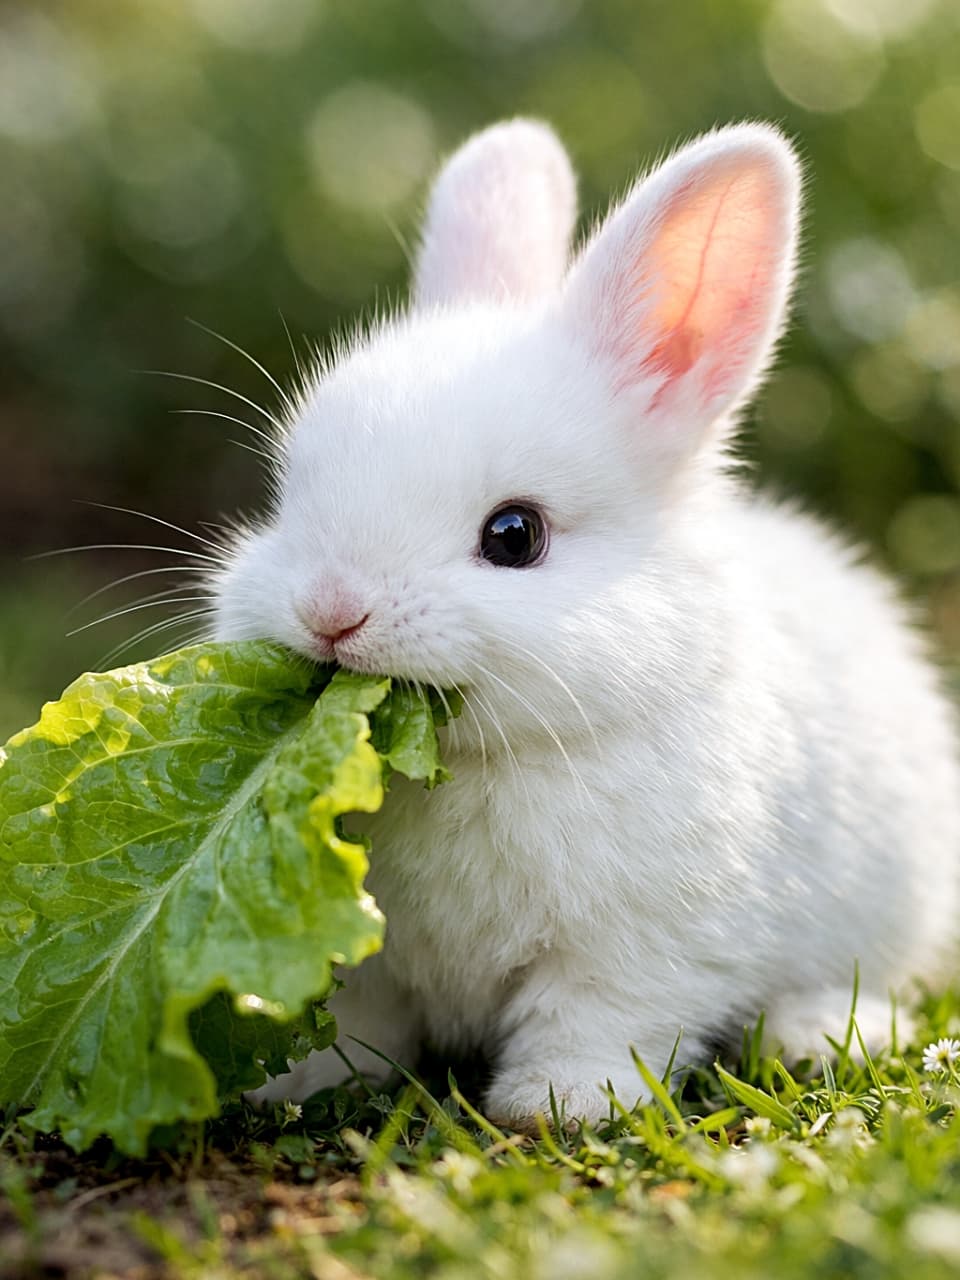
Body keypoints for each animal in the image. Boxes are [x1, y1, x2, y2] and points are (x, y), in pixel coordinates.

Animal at [212, 118, 960, 1128]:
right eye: (288, 497)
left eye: (514, 535)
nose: (332, 610)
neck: (485, 761)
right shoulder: (363, 956)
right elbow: (362, 1022)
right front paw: (306, 1082)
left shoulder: (641, 948)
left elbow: (595, 1020)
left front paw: (558, 1105)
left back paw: (816, 1033)